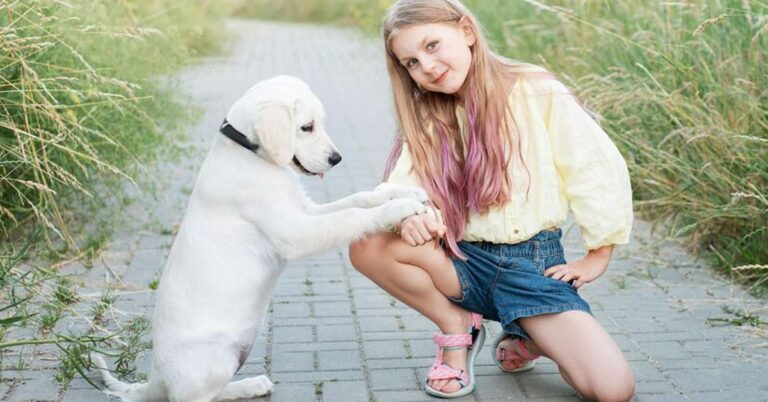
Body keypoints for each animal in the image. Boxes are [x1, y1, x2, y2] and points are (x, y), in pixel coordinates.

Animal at [94, 76, 428, 402]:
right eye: (307, 127)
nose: (337, 158)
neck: (251, 156)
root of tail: (156, 379)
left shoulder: (305, 210)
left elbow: (359, 199)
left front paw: (404, 192)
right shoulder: (296, 232)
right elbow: (350, 216)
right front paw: (400, 208)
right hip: (216, 358)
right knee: (198, 397)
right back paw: (249, 385)